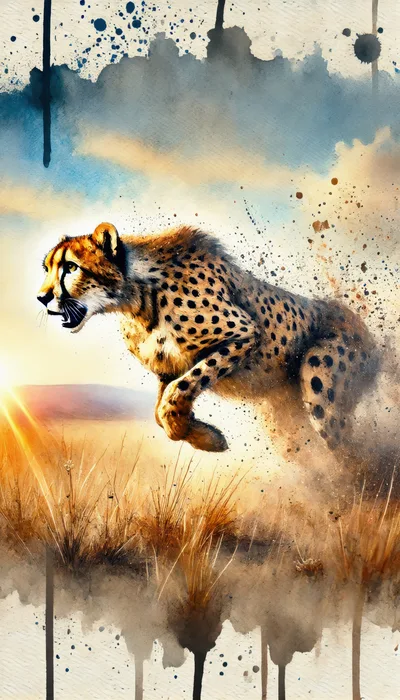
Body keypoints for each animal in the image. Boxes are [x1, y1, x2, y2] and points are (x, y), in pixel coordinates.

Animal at [37, 222, 378, 453]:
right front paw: (203, 435)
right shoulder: (168, 367)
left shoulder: (244, 333)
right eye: (48, 268)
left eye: (71, 267)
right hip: (284, 413)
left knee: (353, 454)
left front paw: (200, 435)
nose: (42, 297)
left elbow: (176, 395)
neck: (137, 298)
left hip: (320, 387)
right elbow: (162, 408)